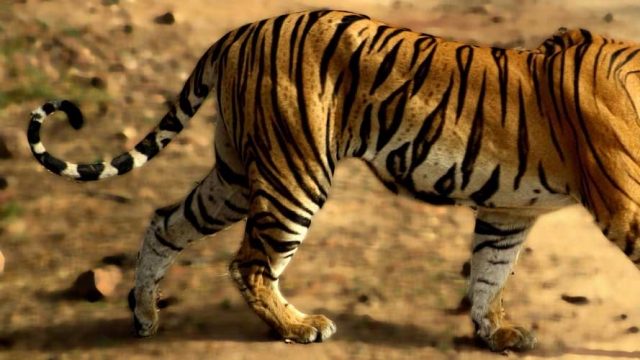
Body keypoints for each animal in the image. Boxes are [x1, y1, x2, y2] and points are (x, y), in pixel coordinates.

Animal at [27, 9, 640, 352]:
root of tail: (241, 31)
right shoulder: (626, 206)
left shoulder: (507, 213)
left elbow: (491, 273)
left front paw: (495, 335)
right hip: (294, 170)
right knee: (250, 264)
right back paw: (299, 327)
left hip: (233, 176)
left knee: (165, 223)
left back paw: (145, 316)